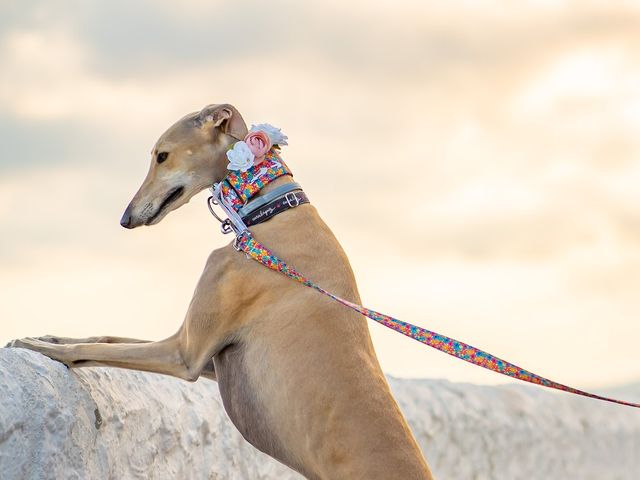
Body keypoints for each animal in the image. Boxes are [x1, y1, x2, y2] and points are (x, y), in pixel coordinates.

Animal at [7, 103, 432, 478]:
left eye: (162, 156)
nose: (126, 219)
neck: (269, 214)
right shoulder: (209, 357)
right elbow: (106, 336)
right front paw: (48, 336)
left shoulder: (185, 354)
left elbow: (93, 349)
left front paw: (38, 346)